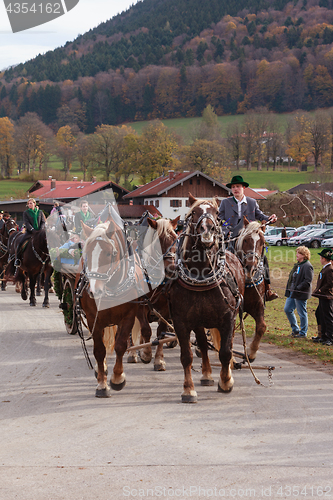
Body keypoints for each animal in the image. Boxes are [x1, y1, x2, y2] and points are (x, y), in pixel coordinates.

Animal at [77, 215, 179, 398]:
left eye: (175, 239)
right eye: (86, 253)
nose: (171, 270)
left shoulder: (149, 310)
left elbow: (131, 341)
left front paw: (155, 359)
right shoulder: (95, 318)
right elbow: (100, 349)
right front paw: (103, 383)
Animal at [169, 194, 244, 402]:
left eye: (217, 213)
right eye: (194, 212)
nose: (207, 230)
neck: (201, 274)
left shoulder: (228, 318)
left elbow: (225, 352)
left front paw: (226, 382)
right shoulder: (181, 322)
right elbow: (186, 356)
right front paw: (188, 390)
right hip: (199, 322)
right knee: (202, 345)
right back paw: (207, 374)